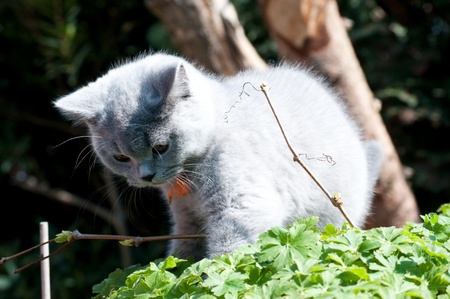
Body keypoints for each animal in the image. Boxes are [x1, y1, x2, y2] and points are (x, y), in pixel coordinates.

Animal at [54, 52, 382, 262]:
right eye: (121, 157)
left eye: (160, 147)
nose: (146, 176)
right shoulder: (186, 221)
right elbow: (181, 252)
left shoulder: (242, 204)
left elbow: (229, 250)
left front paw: (210, 277)